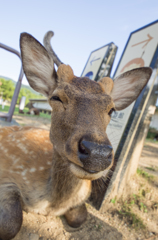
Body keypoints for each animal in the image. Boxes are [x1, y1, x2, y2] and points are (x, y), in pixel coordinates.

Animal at [0, 31, 152, 239]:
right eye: (56, 97)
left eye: (112, 109)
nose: (97, 153)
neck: (51, 204)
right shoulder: (8, 178)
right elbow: (10, 224)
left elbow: (80, 217)